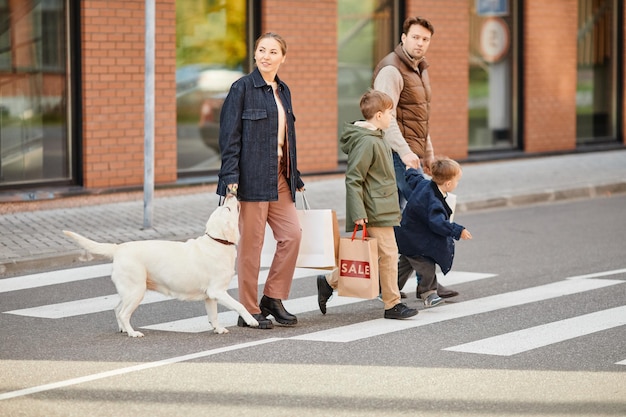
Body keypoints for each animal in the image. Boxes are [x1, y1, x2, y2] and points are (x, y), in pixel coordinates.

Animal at [62, 194, 258, 334]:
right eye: (227, 207)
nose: (230, 193)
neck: (217, 241)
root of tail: (118, 248)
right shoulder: (218, 291)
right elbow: (239, 305)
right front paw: (252, 320)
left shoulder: (210, 296)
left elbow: (214, 315)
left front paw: (218, 329)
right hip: (136, 291)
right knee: (124, 313)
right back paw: (133, 333)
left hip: (128, 291)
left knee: (117, 309)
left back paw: (123, 330)